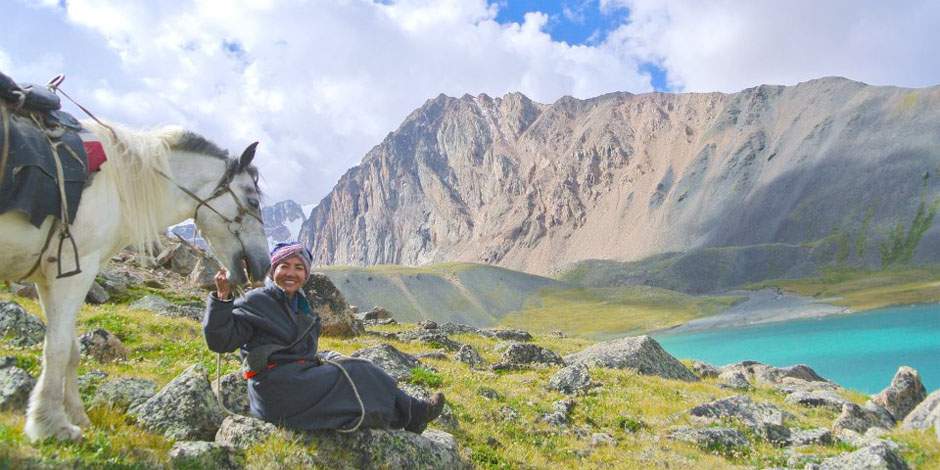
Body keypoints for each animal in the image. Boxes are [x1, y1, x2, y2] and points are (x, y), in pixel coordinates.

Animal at [0, 120, 272, 440]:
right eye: (252, 200)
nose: (265, 264)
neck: (117, 183)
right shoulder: (75, 268)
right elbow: (58, 347)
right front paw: (51, 424)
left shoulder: (50, 275)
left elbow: (70, 347)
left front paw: (77, 416)